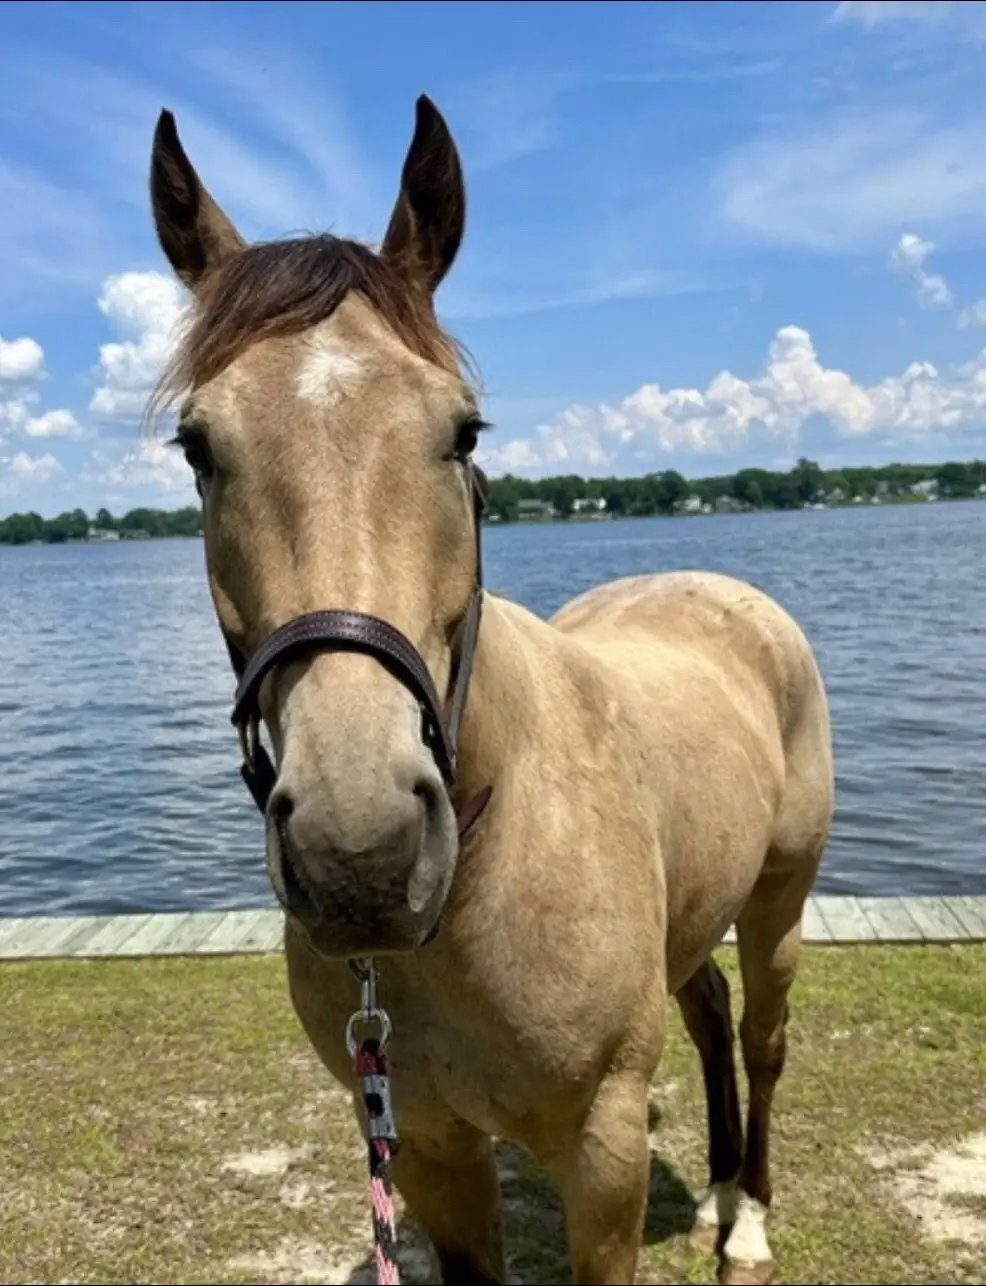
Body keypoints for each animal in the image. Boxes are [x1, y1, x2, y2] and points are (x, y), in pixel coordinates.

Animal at [147, 95, 834, 1285]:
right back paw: (713, 1191)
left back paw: (746, 1214)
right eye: (198, 446)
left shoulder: (602, 1155)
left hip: (779, 899)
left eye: (462, 430)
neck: (492, 848)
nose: (360, 850)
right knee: (707, 1012)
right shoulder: (424, 1146)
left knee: (761, 1038)